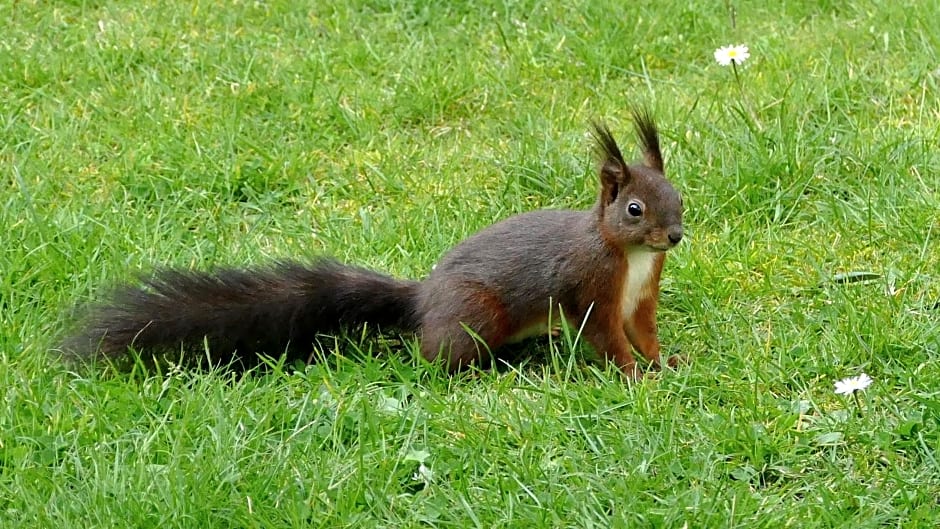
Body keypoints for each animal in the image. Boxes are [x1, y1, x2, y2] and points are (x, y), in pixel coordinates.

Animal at [66, 109, 684, 378]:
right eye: (634, 210)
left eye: (679, 195)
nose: (675, 235)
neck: (631, 258)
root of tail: (423, 299)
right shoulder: (591, 286)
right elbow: (605, 337)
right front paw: (634, 377)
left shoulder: (640, 295)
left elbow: (643, 331)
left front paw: (666, 362)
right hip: (475, 315)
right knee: (432, 356)